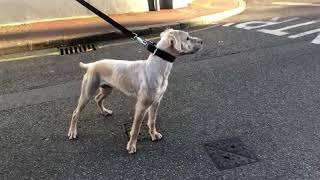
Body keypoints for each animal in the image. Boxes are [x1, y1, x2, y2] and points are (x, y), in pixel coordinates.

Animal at [67, 28, 202, 153]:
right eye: (187, 38)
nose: (202, 41)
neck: (158, 67)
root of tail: (91, 65)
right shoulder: (141, 106)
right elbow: (136, 128)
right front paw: (131, 146)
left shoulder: (156, 102)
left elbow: (152, 121)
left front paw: (154, 135)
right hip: (87, 92)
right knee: (75, 112)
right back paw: (72, 132)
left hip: (107, 89)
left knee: (98, 99)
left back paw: (105, 111)